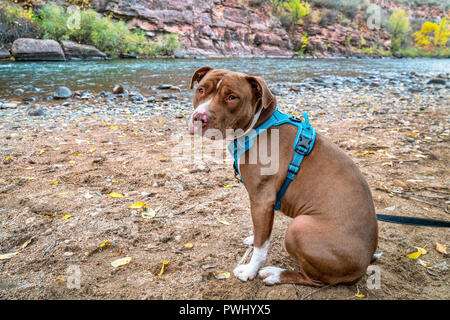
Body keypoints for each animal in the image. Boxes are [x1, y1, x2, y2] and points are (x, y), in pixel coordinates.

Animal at [188, 66, 378, 286]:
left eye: (232, 97)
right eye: (201, 90)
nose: (199, 117)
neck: (258, 127)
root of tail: (365, 264)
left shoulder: (262, 200)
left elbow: (261, 247)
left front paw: (250, 270)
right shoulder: (263, 206)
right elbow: (261, 234)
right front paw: (253, 238)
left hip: (299, 228)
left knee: (315, 279)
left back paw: (276, 274)